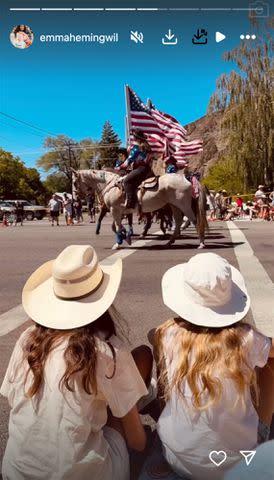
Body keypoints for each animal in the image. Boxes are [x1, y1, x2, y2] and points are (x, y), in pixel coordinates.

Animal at [73, 169, 208, 249]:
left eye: (74, 182)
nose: (75, 198)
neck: (110, 185)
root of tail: (186, 178)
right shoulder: (119, 212)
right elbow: (116, 227)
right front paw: (125, 237)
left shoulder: (114, 210)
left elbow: (117, 226)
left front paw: (119, 242)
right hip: (174, 206)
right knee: (179, 221)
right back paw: (169, 242)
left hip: (184, 205)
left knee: (195, 220)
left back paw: (201, 243)